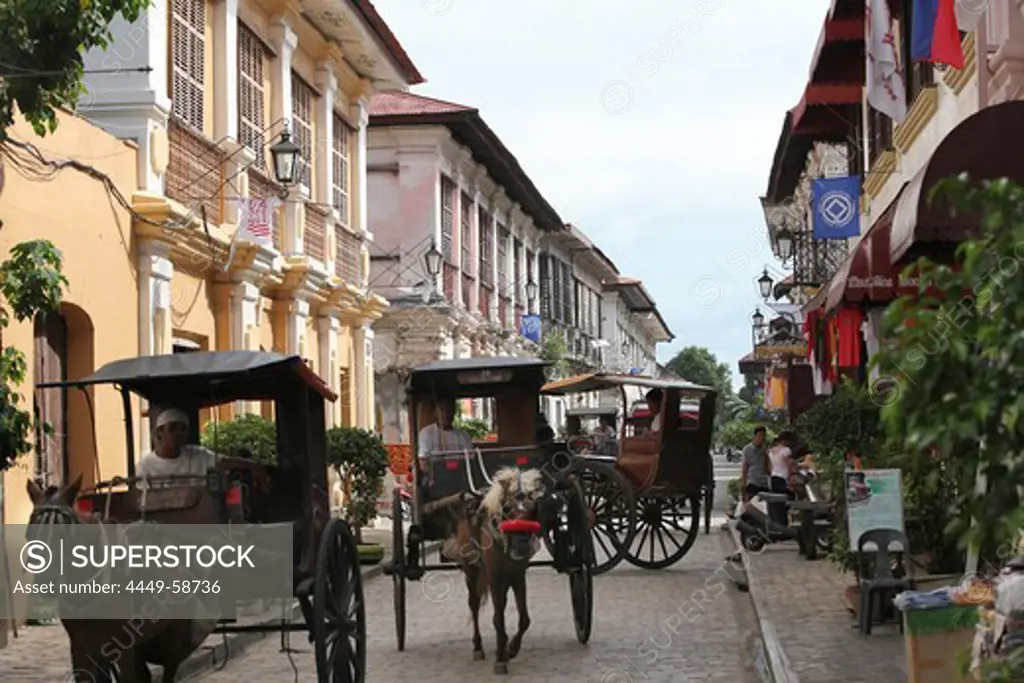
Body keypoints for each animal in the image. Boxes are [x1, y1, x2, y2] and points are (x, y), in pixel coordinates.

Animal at [25, 475, 211, 683]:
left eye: (64, 533)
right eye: (30, 532)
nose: (46, 580)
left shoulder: (122, 648)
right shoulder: (83, 647)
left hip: (171, 638)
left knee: (169, 667)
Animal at [446, 466, 544, 675]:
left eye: (533, 508)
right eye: (507, 509)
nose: (521, 547)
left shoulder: (517, 576)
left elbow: (524, 619)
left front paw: (511, 648)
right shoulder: (495, 578)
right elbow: (498, 618)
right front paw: (500, 657)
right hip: (471, 570)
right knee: (474, 605)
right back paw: (478, 646)